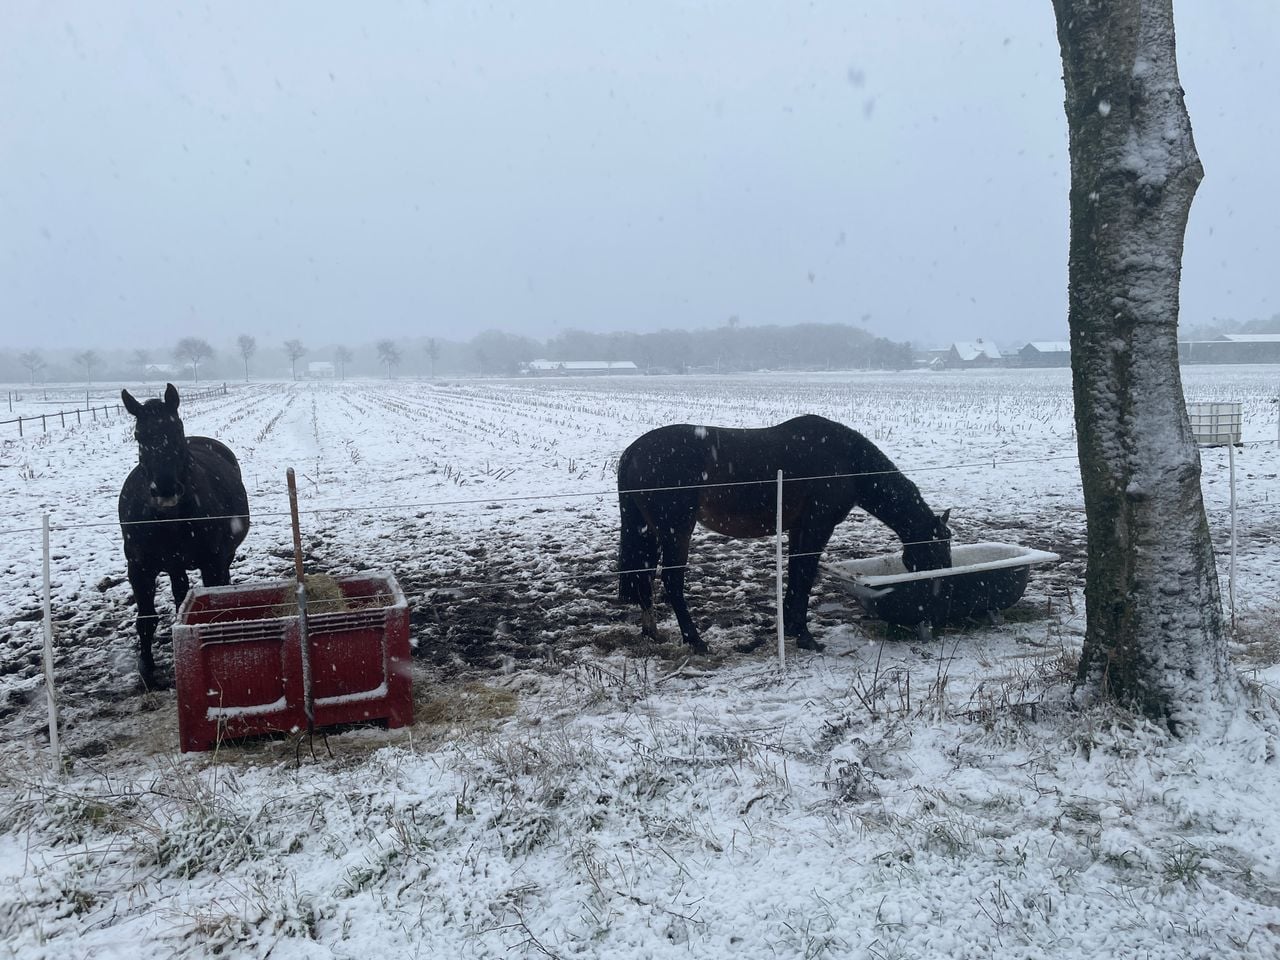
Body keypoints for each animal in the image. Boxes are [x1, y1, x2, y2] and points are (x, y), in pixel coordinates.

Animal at [119, 383, 250, 688]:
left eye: (176, 428)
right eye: (138, 435)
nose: (166, 489)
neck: (171, 519)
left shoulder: (212, 562)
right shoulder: (139, 567)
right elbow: (146, 618)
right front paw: (147, 670)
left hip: (220, 557)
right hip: (175, 565)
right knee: (180, 595)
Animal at [617, 414, 952, 653]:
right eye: (936, 549)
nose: (943, 596)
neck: (845, 459)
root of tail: (633, 451)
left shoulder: (800, 528)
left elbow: (796, 572)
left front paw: (792, 627)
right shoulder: (818, 526)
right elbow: (805, 573)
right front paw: (805, 636)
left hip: (649, 531)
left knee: (643, 576)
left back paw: (652, 633)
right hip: (676, 530)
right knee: (671, 580)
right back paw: (696, 641)